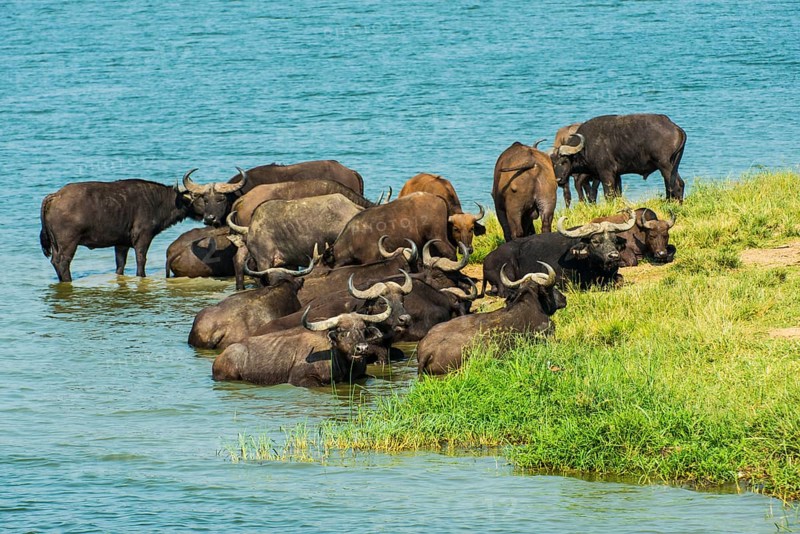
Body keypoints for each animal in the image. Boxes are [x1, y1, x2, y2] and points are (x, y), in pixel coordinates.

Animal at [40, 179, 205, 282]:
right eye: (199, 197)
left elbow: (120, 264)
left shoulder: (121, 244)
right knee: (63, 262)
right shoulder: (143, 238)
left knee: (55, 261)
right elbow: (141, 260)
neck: (157, 201)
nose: (209, 214)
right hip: (68, 243)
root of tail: (56, 195)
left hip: (56, 244)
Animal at [551, 114, 687, 202]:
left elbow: (609, 195)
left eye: (564, 161)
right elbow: (617, 194)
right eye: (553, 163)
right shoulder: (616, 175)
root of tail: (675, 127)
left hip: (664, 165)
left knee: (676, 184)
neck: (586, 146)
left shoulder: (606, 174)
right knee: (676, 184)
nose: (558, 180)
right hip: (672, 166)